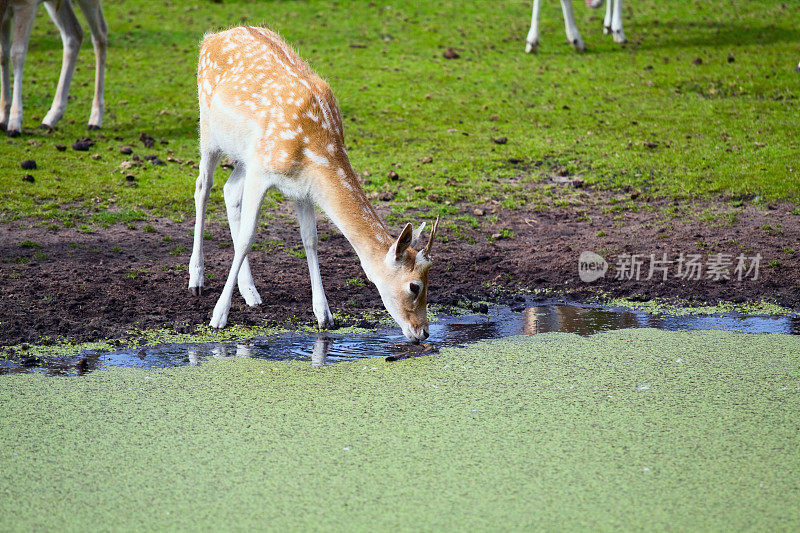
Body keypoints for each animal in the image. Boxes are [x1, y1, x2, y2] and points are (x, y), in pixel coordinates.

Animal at [0, 0, 106, 135]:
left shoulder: (26, 5)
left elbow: (17, 54)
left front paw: (14, 124)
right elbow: (3, 55)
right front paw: (2, 118)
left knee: (100, 34)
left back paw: (95, 119)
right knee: (74, 33)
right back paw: (51, 118)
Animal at [190, 28, 438, 340]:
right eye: (414, 286)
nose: (423, 332)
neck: (318, 148)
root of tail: (211, 37)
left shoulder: (303, 188)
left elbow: (310, 240)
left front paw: (325, 316)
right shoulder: (261, 171)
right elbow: (247, 238)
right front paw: (218, 316)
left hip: (243, 155)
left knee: (230, 189)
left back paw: (250, 293)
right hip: (208, 127)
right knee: (203, 186)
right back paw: (196, 279)